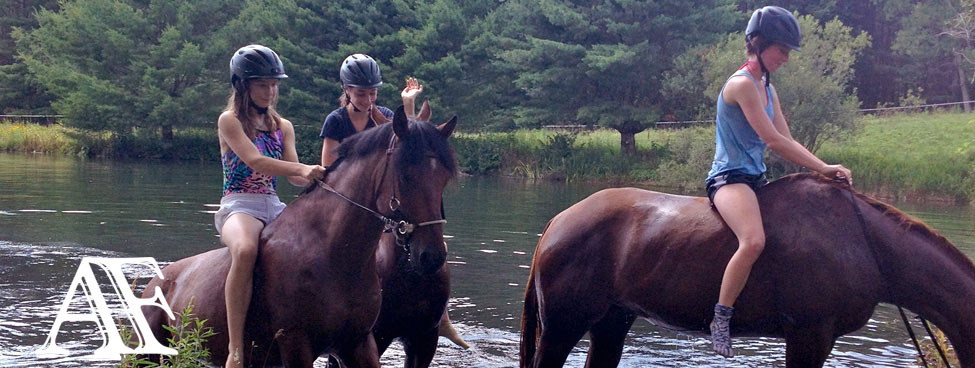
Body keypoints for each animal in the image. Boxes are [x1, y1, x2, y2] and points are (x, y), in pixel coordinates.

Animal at [139, 105, 460, 366]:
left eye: (444, 178)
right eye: (405, 173)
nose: (432, 256)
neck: (334, 255)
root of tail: (158, 281)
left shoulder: (359, 342)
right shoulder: (296, 342)